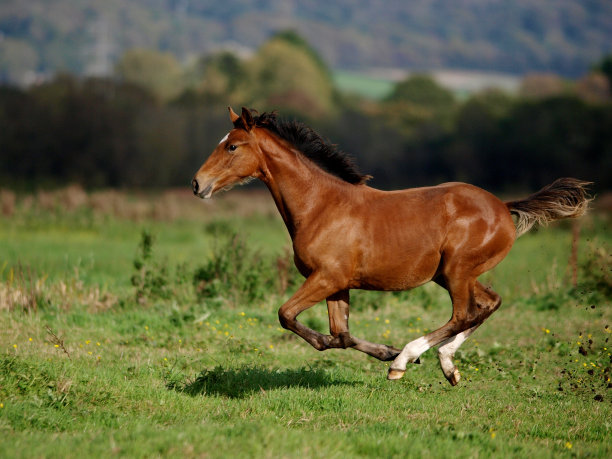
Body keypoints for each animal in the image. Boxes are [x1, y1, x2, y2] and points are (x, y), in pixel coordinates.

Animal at [192, 106, 592, 386]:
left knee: (464, 313)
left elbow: (288, 316)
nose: (197, 184)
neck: (320, 205)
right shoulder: (338, 284)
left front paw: (394, 356)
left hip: (456, 270)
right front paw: (386, 351)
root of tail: (504, 207)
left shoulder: (326, 277)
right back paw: (446, 365)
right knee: (489, 303)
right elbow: (340, 335)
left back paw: (410, 360)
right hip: (452, 274)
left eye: (232, 146)